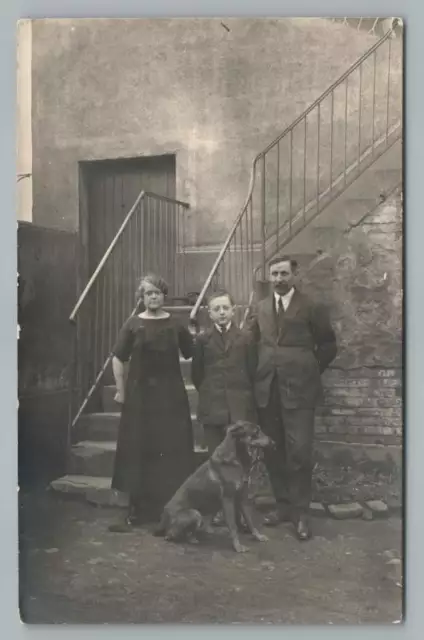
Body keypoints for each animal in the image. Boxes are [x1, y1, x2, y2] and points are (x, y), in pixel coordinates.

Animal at [154, 422, 274, 552]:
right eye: (256, 432)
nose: (273, 442)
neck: (236, 459)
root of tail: (163, 517)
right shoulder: (228, 500)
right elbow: (233, 526)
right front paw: (237, 546)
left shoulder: (242, 500)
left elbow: (250, 522)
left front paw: (258, 536)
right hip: (195, 514)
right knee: (170, 535)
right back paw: (190, 538)